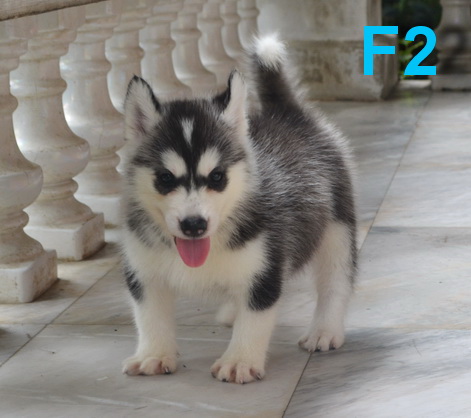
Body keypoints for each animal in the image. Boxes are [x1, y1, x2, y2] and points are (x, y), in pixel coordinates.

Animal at [120, 35, 357, 384]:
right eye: (165, 178)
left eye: (217, 177)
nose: (193, 225)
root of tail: (285, 113)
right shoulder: (144, 269)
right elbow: (149, 315)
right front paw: (154, 354)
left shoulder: (266, 266)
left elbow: (255, 318)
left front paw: (239, 360)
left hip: (336, 227)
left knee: (336, 279)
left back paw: (324, 330)